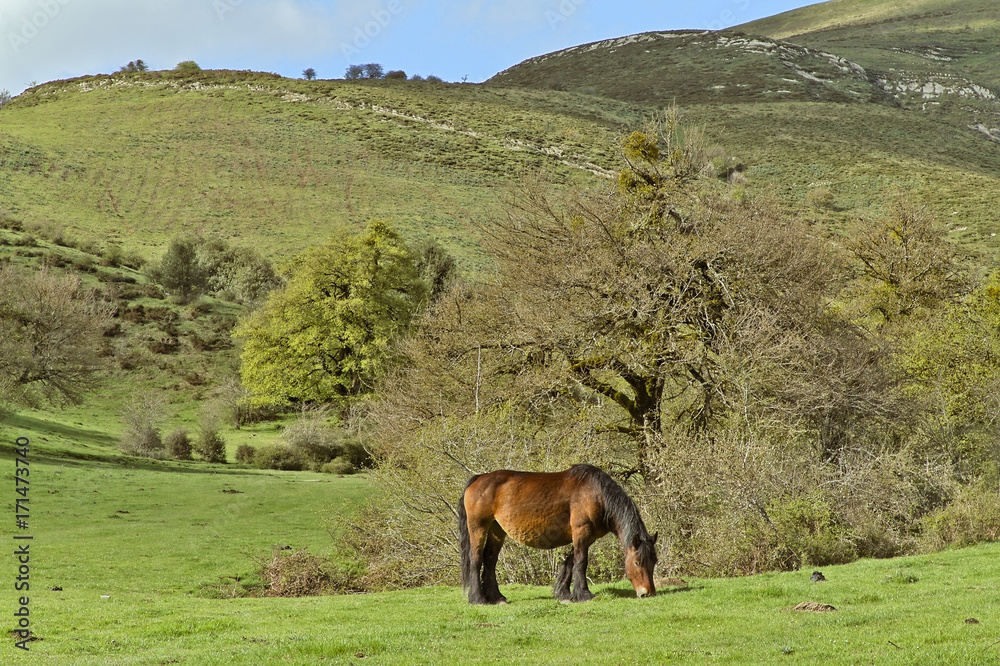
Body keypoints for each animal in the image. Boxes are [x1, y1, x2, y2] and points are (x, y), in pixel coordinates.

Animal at [457, 463, 658, 604]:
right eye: (637, 562)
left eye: (654, 562)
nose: (647, 593)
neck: (596, 494)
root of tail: (478, 478)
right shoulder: (581, 531)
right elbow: (581, 562)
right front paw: (584, 594)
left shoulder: (588, 536)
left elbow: (571, 561)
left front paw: (565, 593)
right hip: (478, 527)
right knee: (476, 559)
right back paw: (478, 599)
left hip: (497, 530)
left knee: (490, 560)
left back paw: (497, 597)